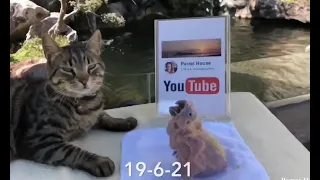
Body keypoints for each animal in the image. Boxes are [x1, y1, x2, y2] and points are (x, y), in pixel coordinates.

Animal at [9, 29, 138, 177]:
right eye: (68, 69)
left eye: (91, 67)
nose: (84, 80)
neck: (85, 105)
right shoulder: (38, 140)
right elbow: (72, 152)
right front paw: (100, 161)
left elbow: (104, 115)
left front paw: (123, 121)